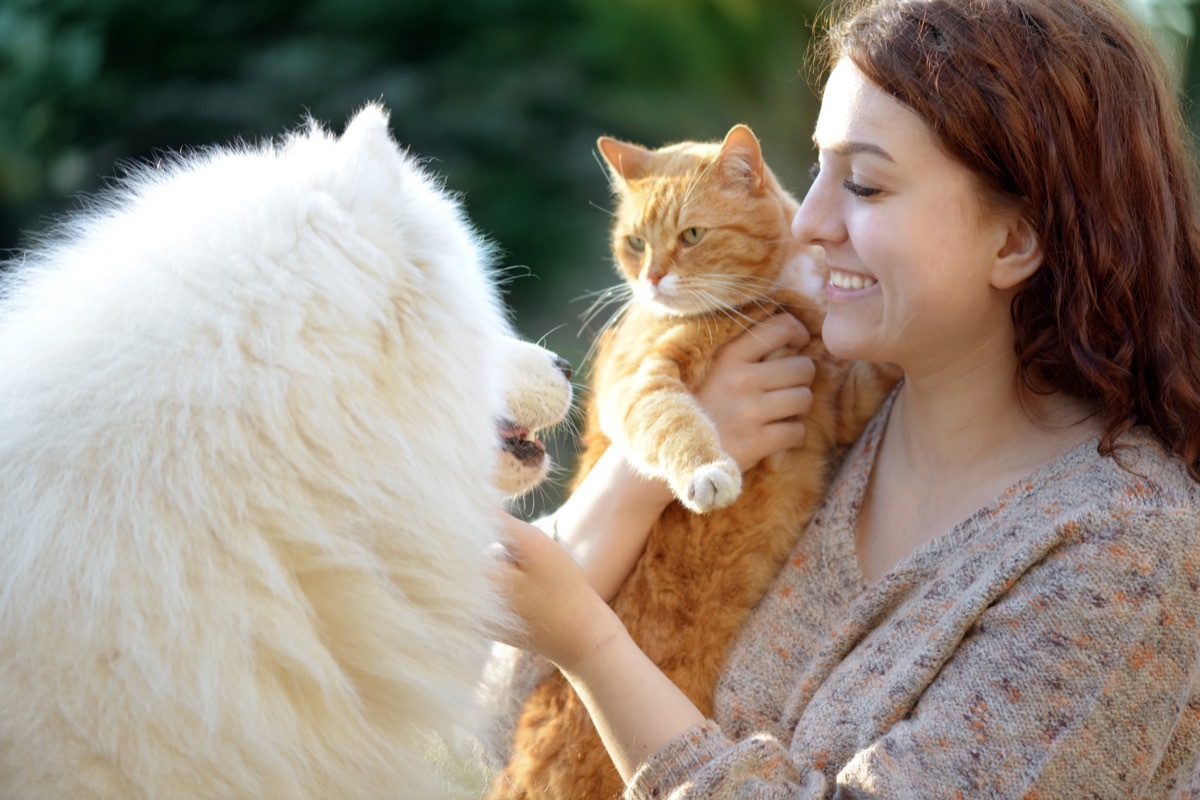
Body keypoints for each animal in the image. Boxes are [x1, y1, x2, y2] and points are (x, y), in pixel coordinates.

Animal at [487, 125, 902, 800]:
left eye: (691, 236)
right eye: (635, 243)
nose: (653, 279)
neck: (770, 299)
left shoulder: (835, 398)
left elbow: (881, 369)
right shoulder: (640, 383)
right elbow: (675, 422)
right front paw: (707, 472)